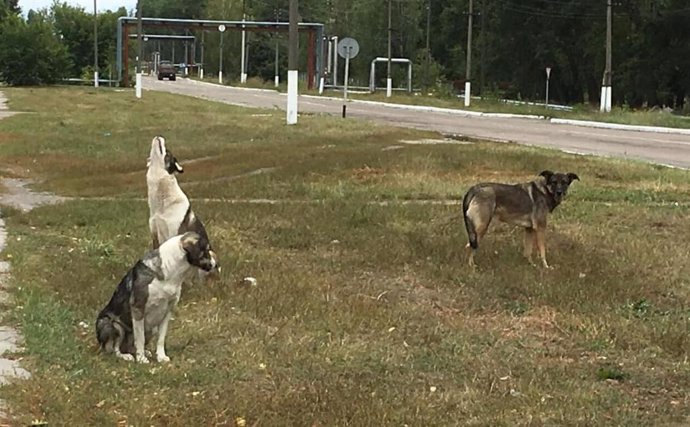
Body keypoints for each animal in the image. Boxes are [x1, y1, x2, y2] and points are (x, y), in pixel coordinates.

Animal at [94, 232, 215, 362]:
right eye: (206, 250)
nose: (215, 264)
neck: (171, 272)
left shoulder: (168, 311)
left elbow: (161, 338)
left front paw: (161, 357)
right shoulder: (138, 309)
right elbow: (140, 338)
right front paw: (141, 359)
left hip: (151, 329)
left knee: (129, 346)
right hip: (113, 325)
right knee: (113, 349)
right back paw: (126, 356)